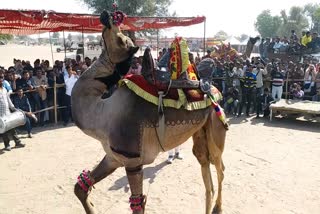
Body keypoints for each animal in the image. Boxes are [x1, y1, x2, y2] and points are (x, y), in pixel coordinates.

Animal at [72, 10, 228, 214]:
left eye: (122, 39)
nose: (107, 16)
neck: (101, 113)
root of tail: (215, 88)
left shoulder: (132, 161)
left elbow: (138, 205)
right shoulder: (114, 157)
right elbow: (80, 187)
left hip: (216, 128)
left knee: (220, 167)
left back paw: (218, 207)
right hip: (200, 132)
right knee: (206, 172)